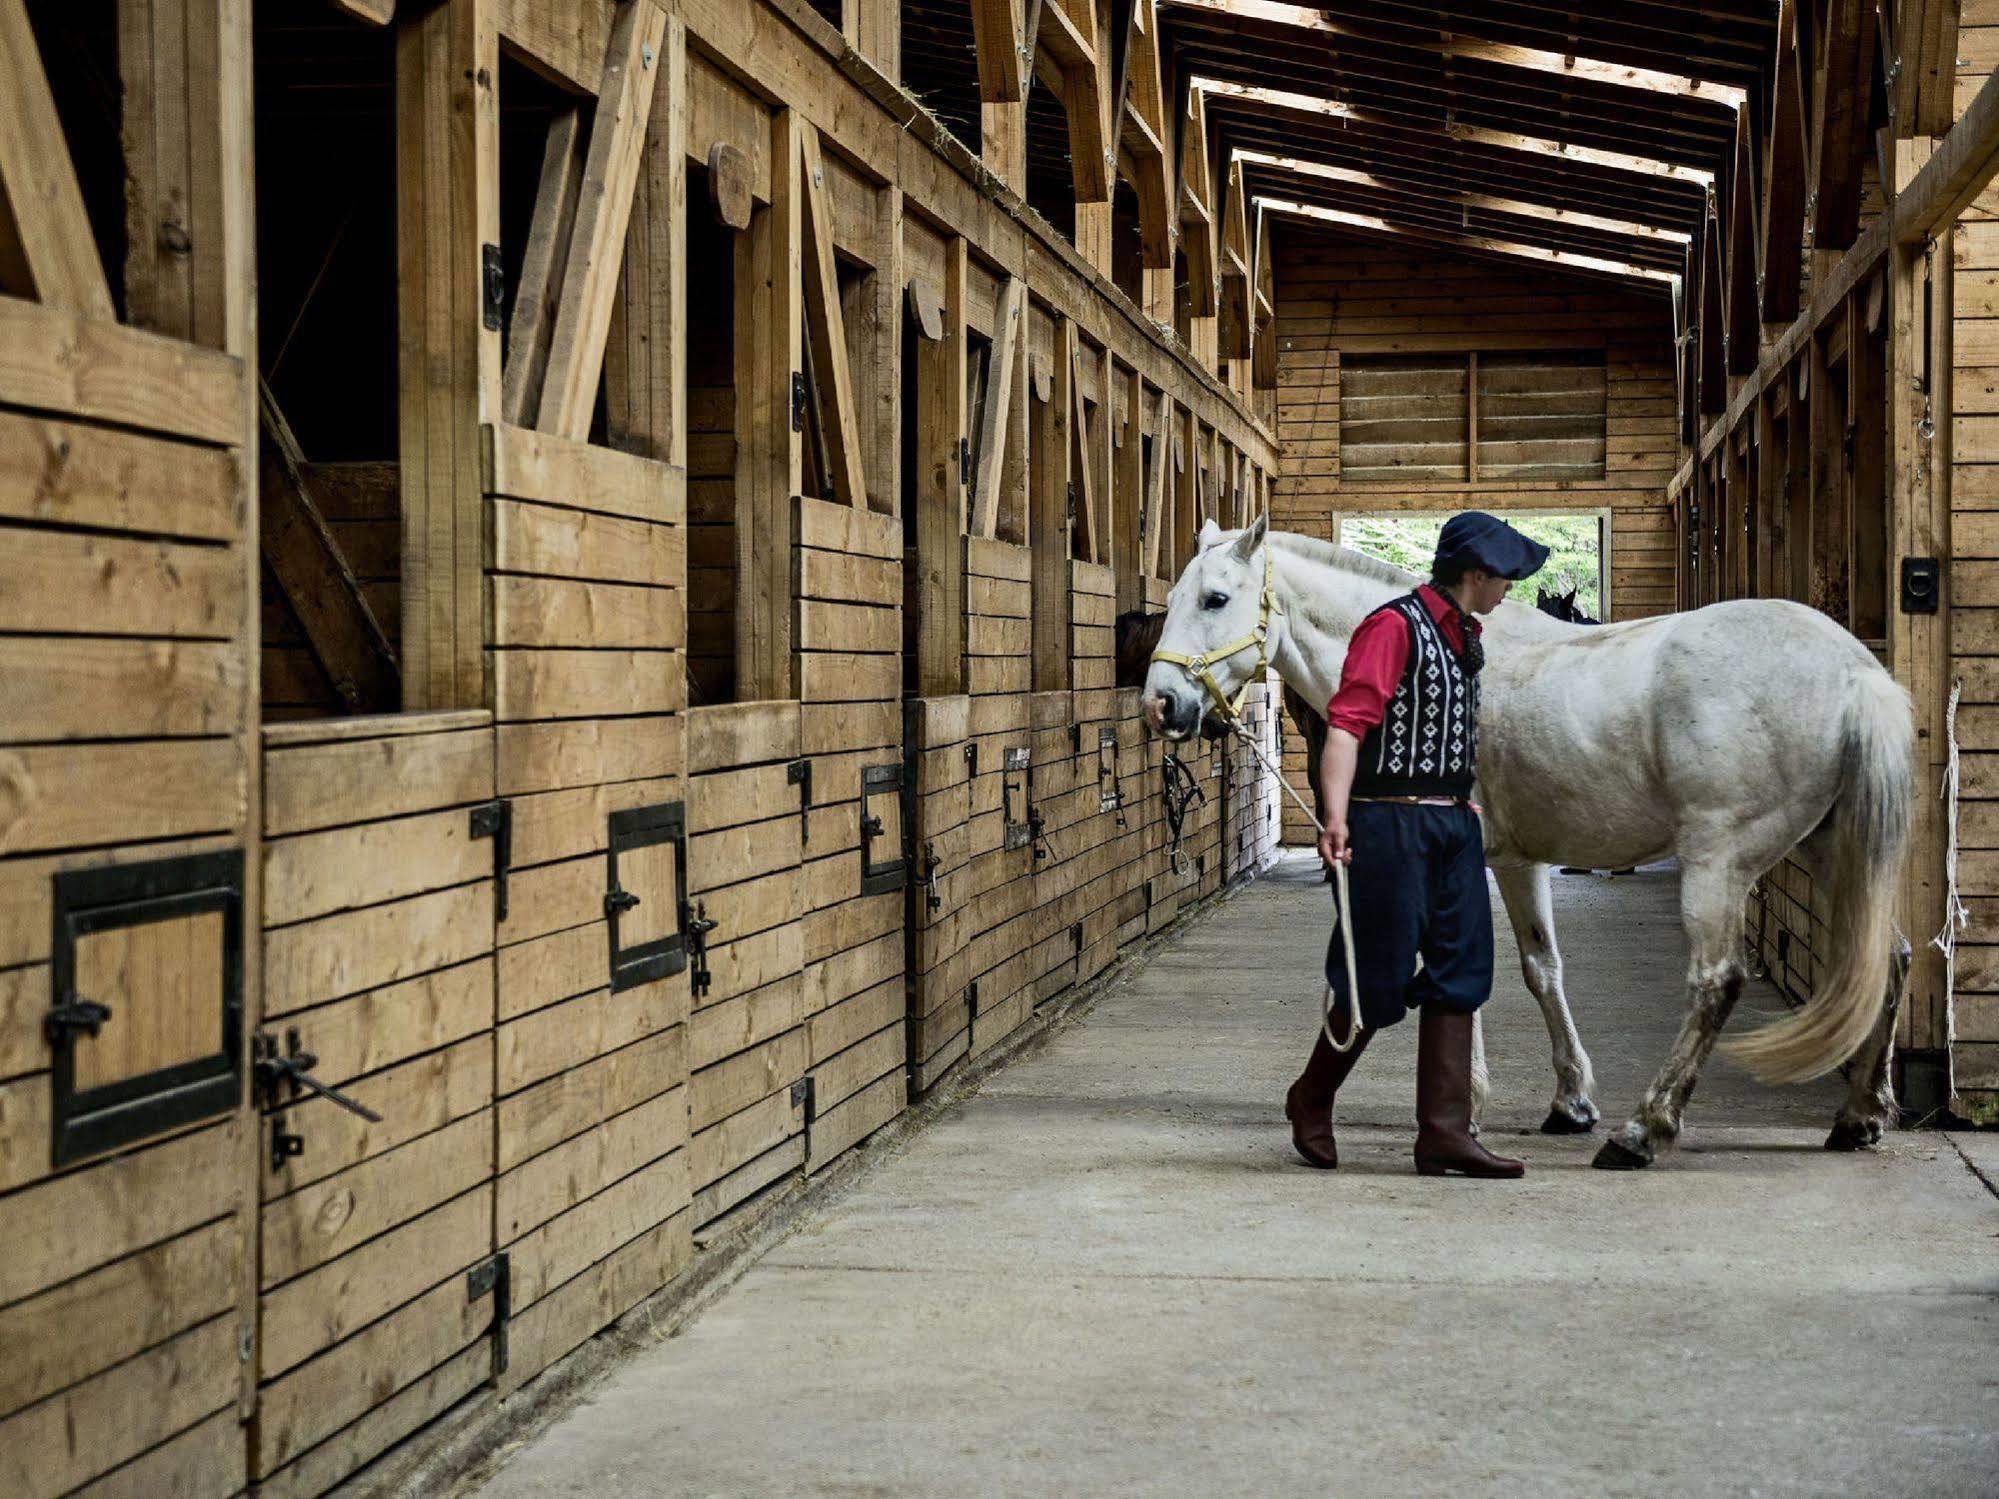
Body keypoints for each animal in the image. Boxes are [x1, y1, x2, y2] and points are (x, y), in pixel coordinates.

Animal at [1143, 523, 1919, 1167]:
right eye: (1174, 596)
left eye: (1215, 598)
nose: (1161, 704)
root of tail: (1856, 672)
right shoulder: (1519, 863)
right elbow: (1542, 968)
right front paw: (1569, 1102)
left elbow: (1453, 974)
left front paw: (1467, 1112)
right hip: (1829, 849)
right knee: (1890, 955)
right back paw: (1859, 1115)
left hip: (1718, 862)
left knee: (1715, 981)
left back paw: (1644, 1130)